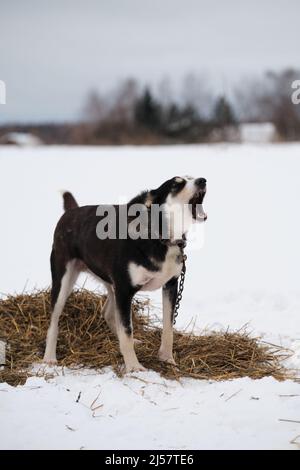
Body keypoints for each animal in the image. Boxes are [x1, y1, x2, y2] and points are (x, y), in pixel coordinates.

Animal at [43, 175, 206, 370]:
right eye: (177, 184)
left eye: (192, 177)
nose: (203, 180)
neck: (160, 237)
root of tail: (72, 211)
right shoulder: (125, 289)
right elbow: (127, 329)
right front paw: (134, 367)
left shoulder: (170, 285)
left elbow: (168, 328)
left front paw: (167, 359)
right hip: (64, 280)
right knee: (54, 320)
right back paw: (49, 357)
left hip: (112, 286)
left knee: (108, 314)